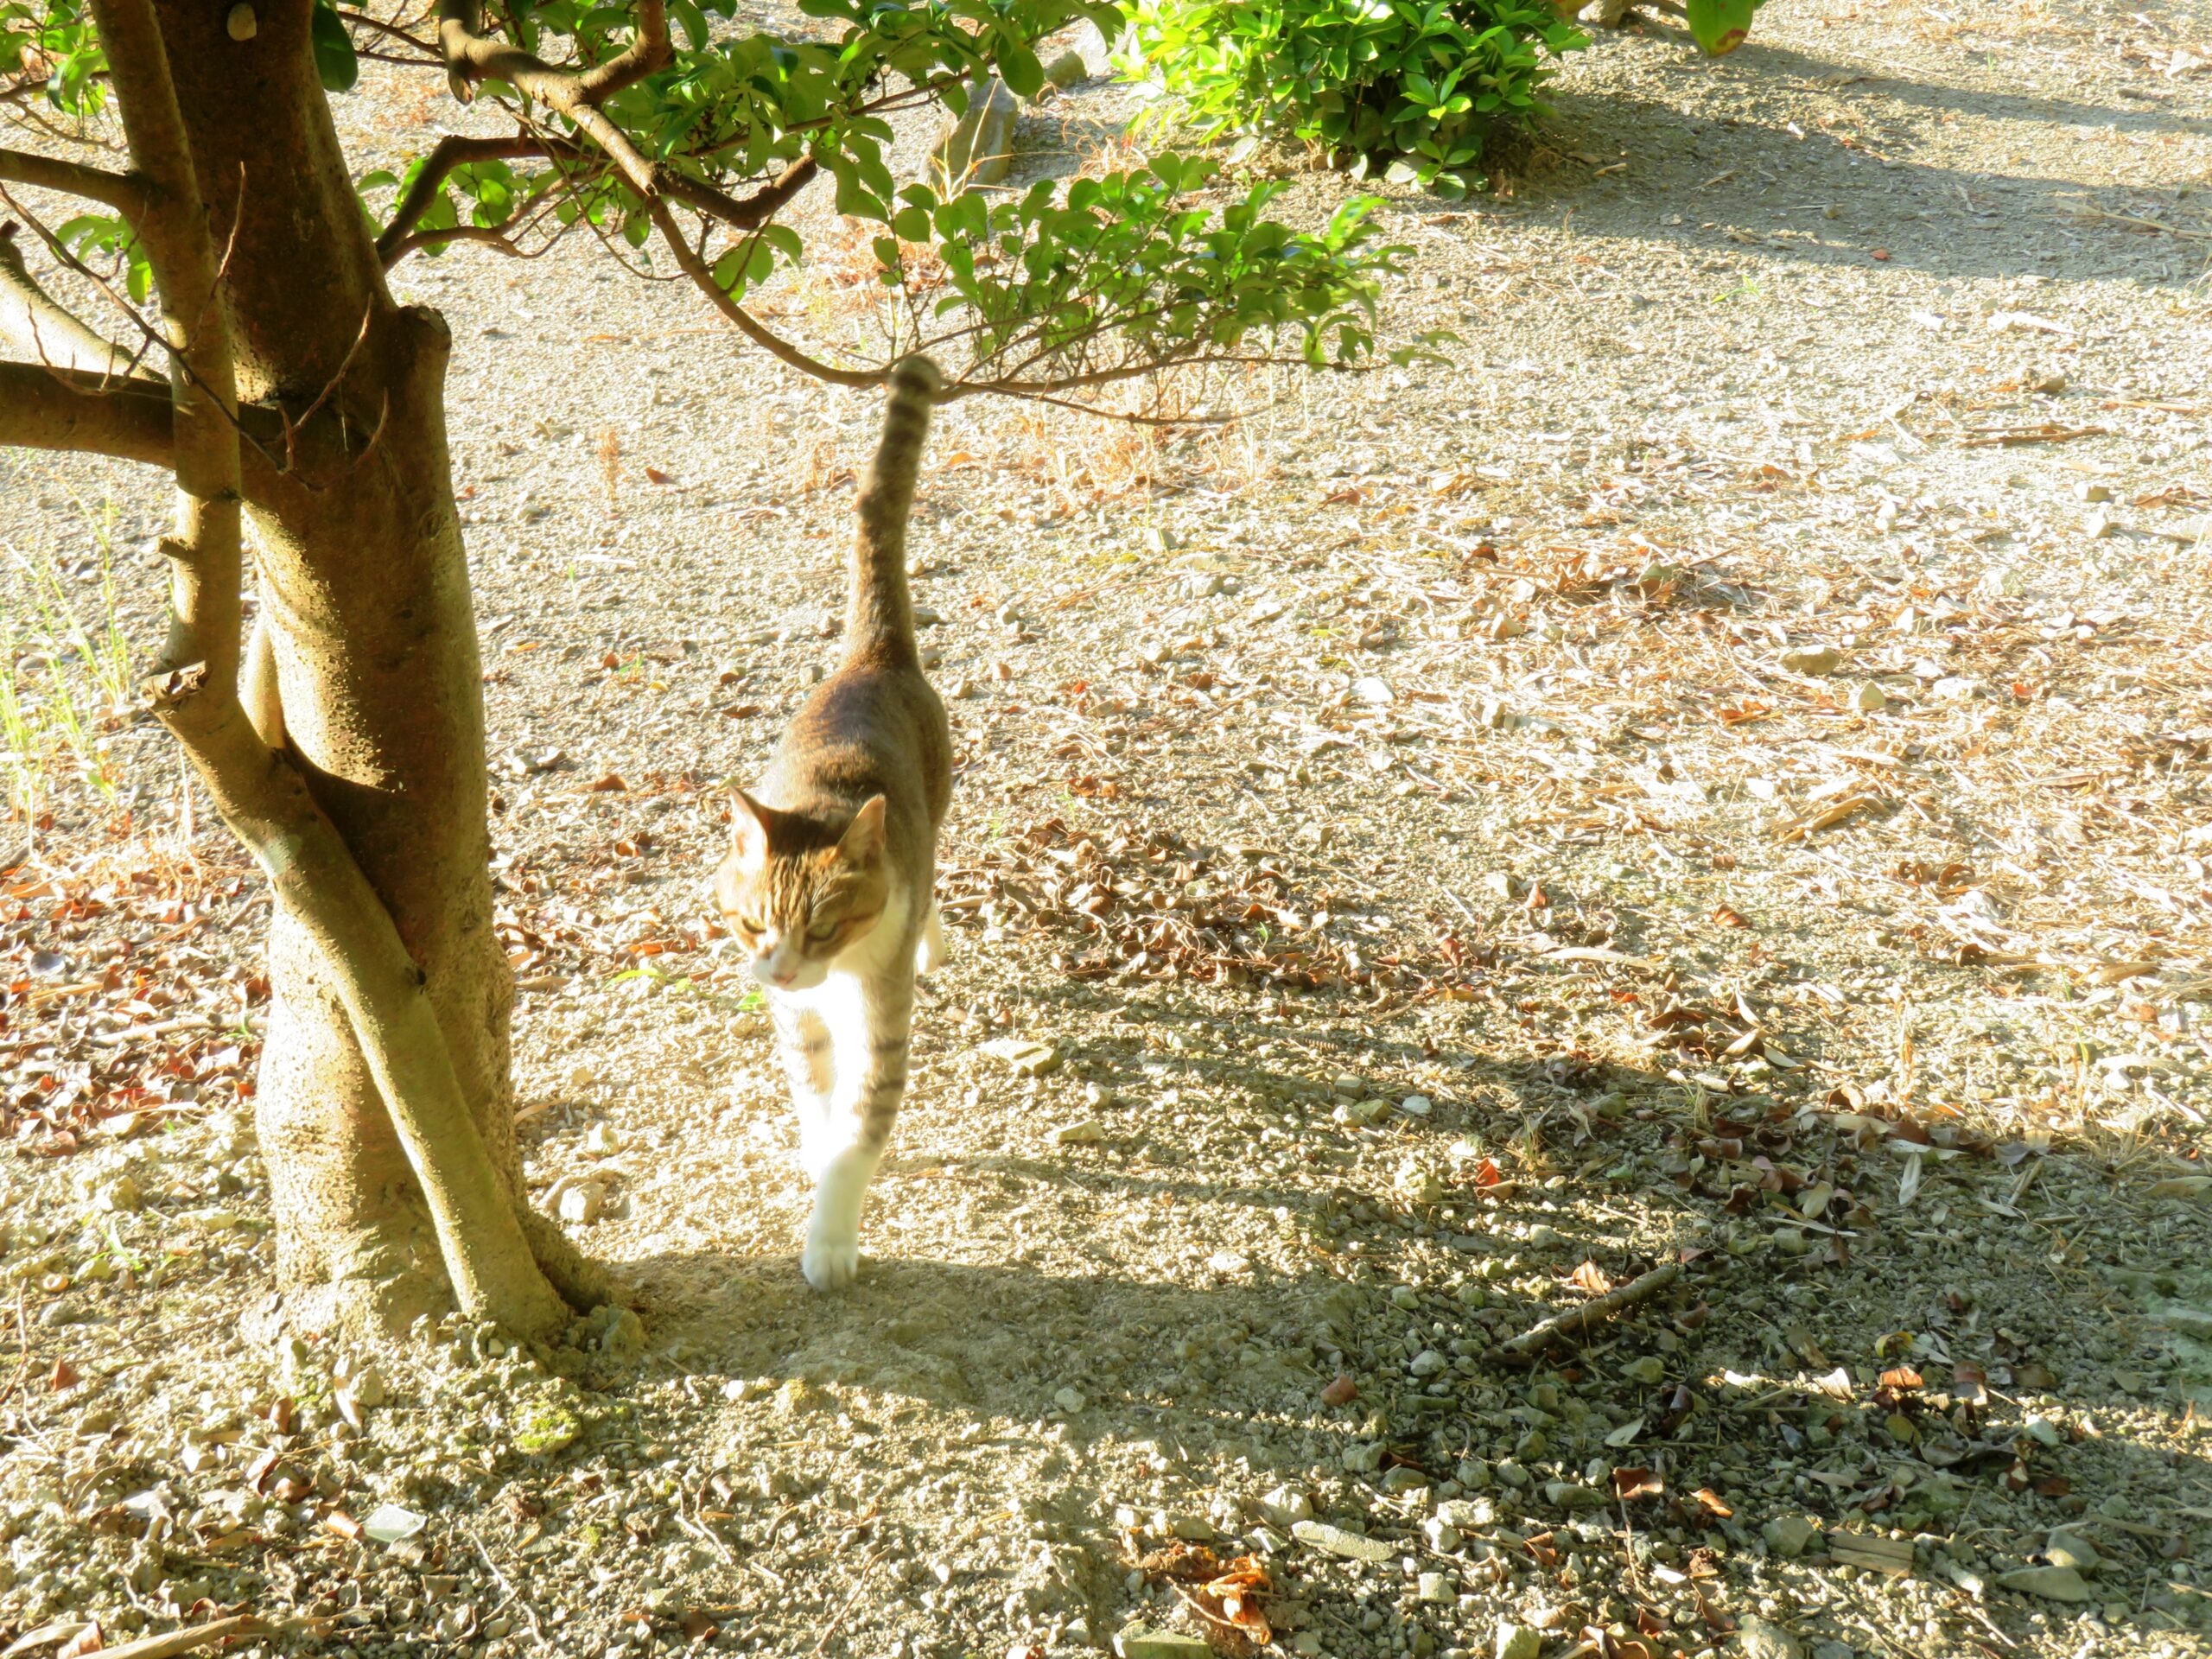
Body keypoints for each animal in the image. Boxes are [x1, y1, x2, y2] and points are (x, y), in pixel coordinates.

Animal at [708, 358, 950, 1292]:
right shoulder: (799, 1024)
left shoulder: (882, 1023)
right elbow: (816, 1101)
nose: (777, 970)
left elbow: (858, 1133)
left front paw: (831, 1240)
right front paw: (812, 1158)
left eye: (823, 926)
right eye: (750, 924)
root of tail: (870, 658)